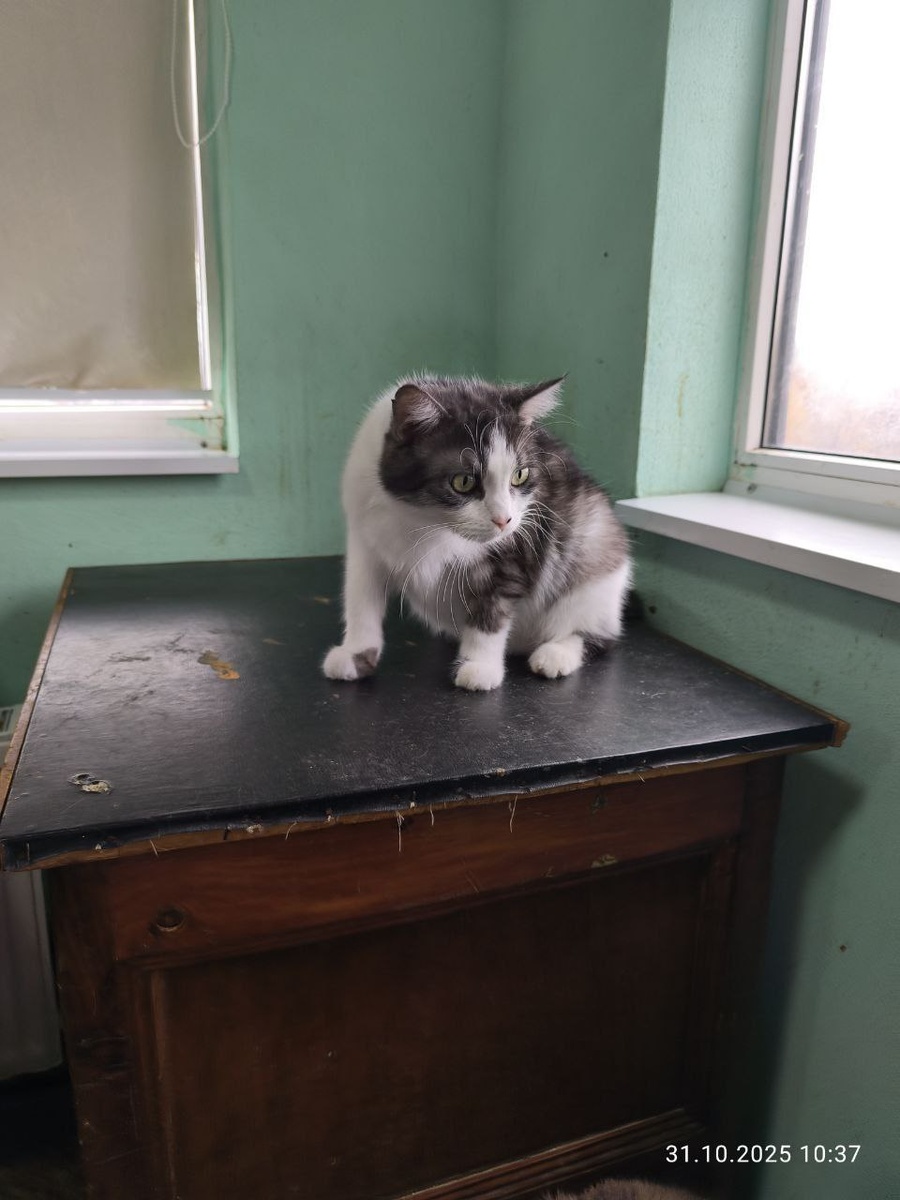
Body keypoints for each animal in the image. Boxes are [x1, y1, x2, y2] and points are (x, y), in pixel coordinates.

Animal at [322, 374, 631, 692]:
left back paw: (557, 653)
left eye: (520, 475)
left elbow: (492, 609)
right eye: (463, 481)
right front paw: (356, 653)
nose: (504, 520)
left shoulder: (515, 549)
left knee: (599, 634)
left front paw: (479, 666)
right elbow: (361, 597)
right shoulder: (364, 539)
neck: (421, 518)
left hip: (595, 550)